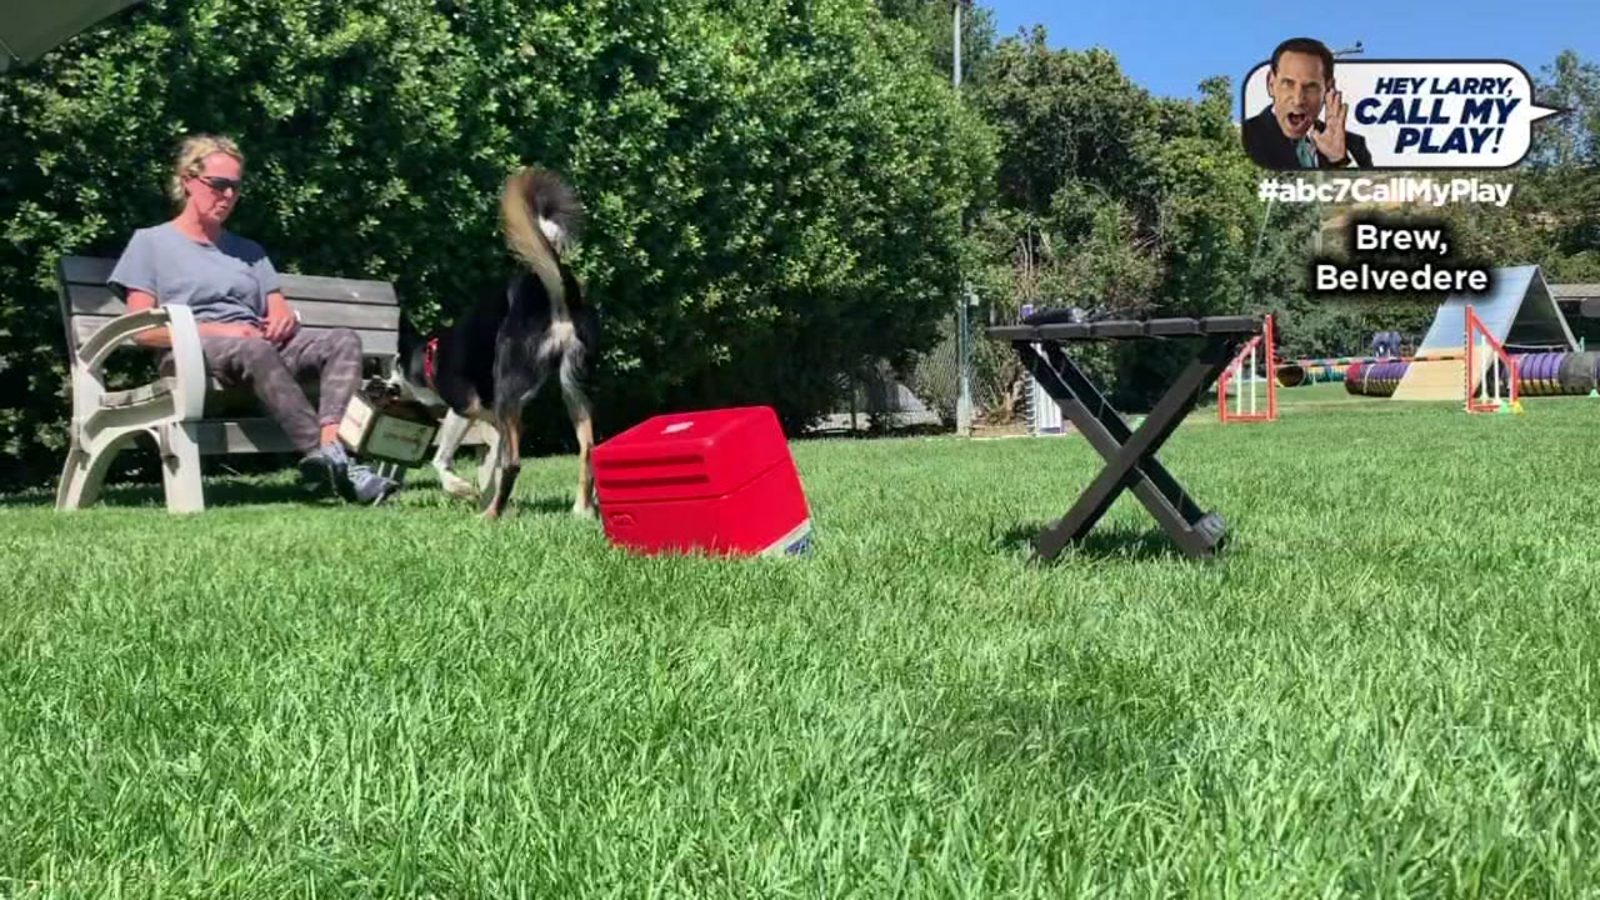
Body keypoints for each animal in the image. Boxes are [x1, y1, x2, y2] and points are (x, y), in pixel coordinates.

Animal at [391, 167, 599, 520]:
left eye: (395, 366)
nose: (385, 385)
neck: (432, 355)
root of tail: (552, 293)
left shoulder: (467, 408)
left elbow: (442, 460)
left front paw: (463, 490)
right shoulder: (495, 417)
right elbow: (491, 461)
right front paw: (484, 492)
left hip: (509, 388)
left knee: (513, 463)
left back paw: (491, 516)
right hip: (574, 385)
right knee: (587, 450)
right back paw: (580, 510)